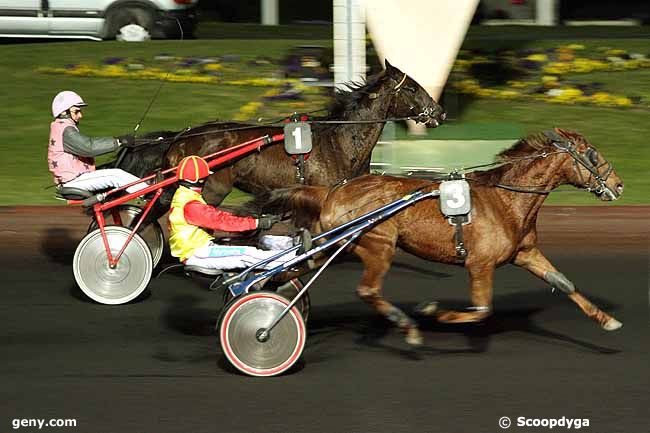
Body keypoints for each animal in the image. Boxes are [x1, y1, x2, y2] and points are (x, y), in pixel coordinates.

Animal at [258, 129, 624, 348]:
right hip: (376, 244)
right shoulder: (480, 264)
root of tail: (332, 190)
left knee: (295, 269)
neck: (505, 200)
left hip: (336, 244)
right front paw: (433, 310)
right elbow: (481, 309)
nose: (618, 185)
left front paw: (607, 320)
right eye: (592, 154)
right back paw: (406, 325)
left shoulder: (525, 252)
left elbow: (563, 282)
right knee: (368, 289)